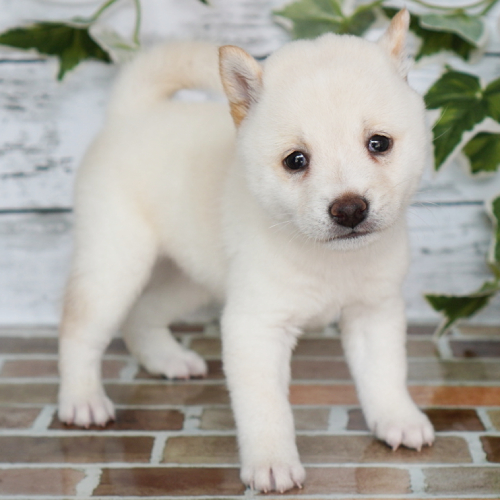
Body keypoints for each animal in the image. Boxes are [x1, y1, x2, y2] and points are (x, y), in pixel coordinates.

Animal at [57, 10, 434, 492]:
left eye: (379, 143)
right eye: (296, 160)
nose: (349, 209)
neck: (330, 261)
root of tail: (134, 113)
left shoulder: (375, 312)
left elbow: (385, 376)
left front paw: (398, 419)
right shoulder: (255, 326)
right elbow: (266, 408)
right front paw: (272, 464)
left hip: (190, 277)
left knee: (141, 315)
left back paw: (167, 359)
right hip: (115, 265)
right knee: (80, 330)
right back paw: (82, 400)